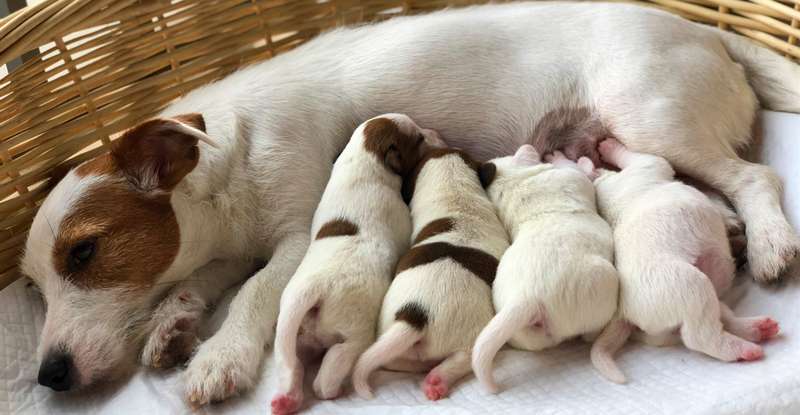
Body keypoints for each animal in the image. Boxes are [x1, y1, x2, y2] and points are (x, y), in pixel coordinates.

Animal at [270, 114, 444, 415]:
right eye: (419, 138)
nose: (437, 132)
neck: (364, 159)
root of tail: (311, 291)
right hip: (353, 334)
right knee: (330, 371)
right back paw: (331, 389)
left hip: (292, 338)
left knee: (293, 366)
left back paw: (286, 400)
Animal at [350, 145, 506, 400]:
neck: (455, 190)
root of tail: (416, 316)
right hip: (472, 331)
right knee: (466, 356)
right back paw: (438, 380)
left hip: (389, 333)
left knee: (393, 359)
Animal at [468, 145, 620, 394]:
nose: (534, 148)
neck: (512, 184)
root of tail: (527, 298)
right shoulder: (570, 176)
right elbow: (577, 169)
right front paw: (563, 157)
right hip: (603, 285)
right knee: (590, 334)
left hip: (525, 336)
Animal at [588, 139, 780, 384]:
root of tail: (624, 314)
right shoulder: (645, 167)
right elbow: (639, 157)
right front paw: (609, 146)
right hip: (692, 287)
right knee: (699, 337)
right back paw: (744, 349)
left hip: (696, 301)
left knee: (718, 320)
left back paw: (757, 328)